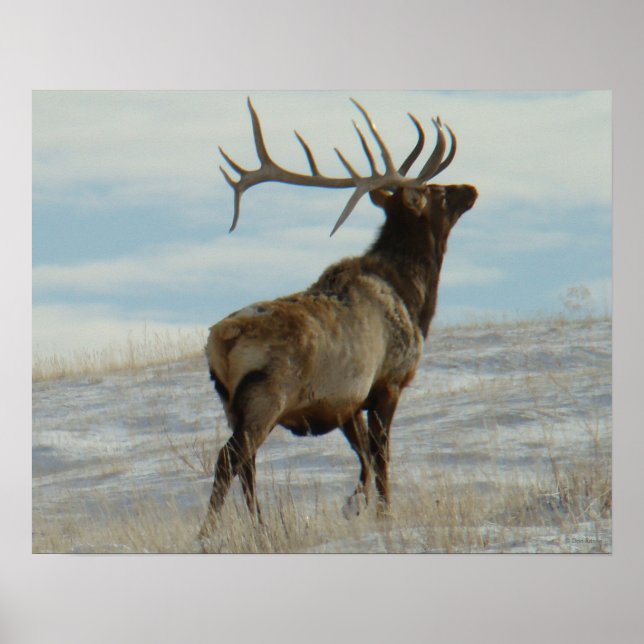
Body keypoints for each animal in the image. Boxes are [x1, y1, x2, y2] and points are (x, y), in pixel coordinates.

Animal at [199, 98, 477, 538]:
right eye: (435, 191)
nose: (469, 189)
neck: (414, 298)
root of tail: (221, 341)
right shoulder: (388, 381)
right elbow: (380, 455)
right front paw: (382, 512)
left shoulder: (346, 400)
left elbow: (362, 455)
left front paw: (355, 504)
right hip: (267, 395)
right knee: (231, 458)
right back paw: (209, 532)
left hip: (230, 402)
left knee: (247, 464)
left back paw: (261, 526)